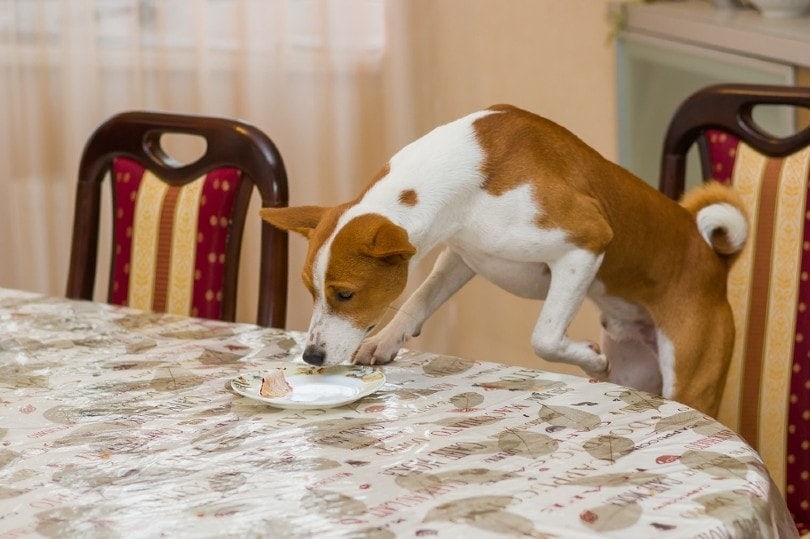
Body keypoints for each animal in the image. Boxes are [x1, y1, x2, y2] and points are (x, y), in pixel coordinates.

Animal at [258, 105, 744, 418]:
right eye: (311, 291)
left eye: (345, 294)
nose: (313, 355)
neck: (470, 173)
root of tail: (715, 263)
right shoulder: (463, 254)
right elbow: (418, 300)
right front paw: (386, 340)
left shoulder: (585, 243)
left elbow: (544, 337)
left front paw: (587, 359)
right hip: (638, 371)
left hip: (690, 379)